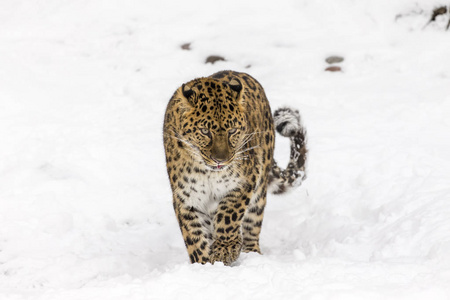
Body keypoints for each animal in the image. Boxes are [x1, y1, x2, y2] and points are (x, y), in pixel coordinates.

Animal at [163, 70, 308, 264]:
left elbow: (228, 214)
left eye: (232, 131)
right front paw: (203, 263)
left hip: (259, 191)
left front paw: (225, 248)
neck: (208, 173)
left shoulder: (244, 182)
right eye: (205, 131)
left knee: (252, 224)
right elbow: (194, 235)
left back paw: (251, 253)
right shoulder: (186, 197)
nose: (220, 160)